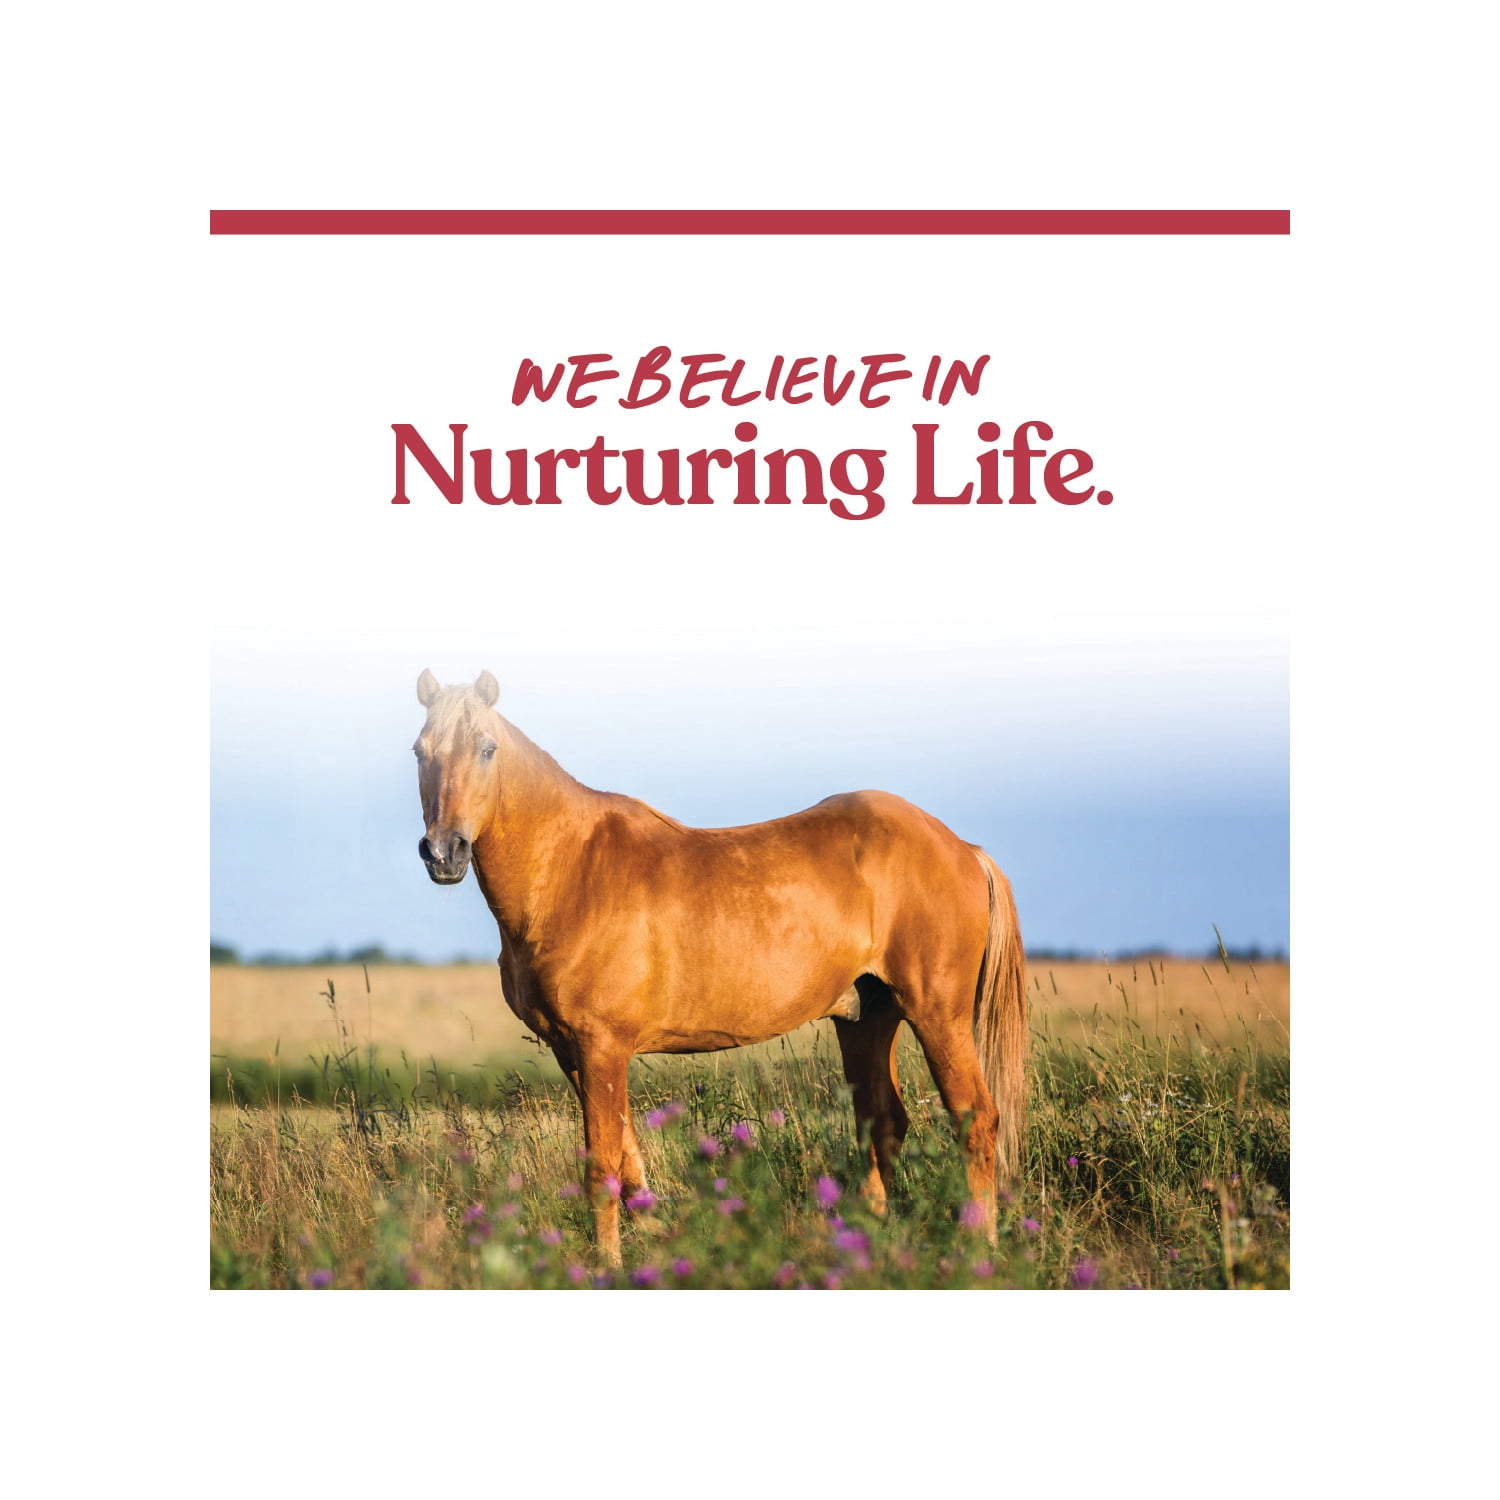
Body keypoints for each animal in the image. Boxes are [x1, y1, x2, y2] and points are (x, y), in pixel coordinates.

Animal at [413, 668, 1027, 1266]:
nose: (444, 852)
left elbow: (603, 1169)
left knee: (976, 1118)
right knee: (882, 1122)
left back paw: (978, 1245)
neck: (570, 868)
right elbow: (630, 1163)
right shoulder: (576, 1053)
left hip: (938, 1017)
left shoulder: (602, 1047)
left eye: (487, 748)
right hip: (865, 1020)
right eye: (421, 751)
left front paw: (608, 1268)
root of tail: (961, 847)